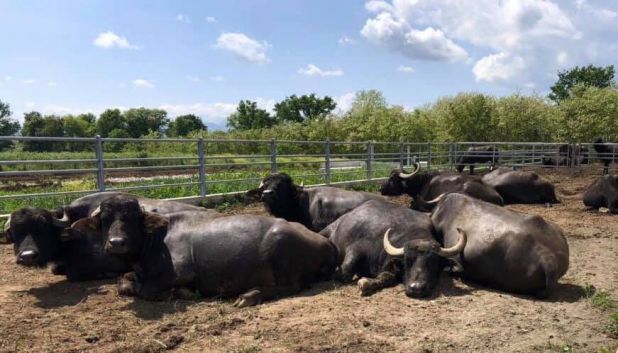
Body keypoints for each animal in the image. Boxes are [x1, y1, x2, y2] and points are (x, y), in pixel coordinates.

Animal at [72, 195, 336, 306]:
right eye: (105, 219)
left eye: (131, 218)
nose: (116, 242)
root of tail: (326, 243)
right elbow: (123, 282)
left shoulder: (180, 272)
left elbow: (147, 290)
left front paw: (183, 293)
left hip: (280, 249)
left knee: (291, 286)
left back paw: (249, 295)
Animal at [318, 199, 462, 296]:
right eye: (407, 261)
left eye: (434, 262)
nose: (416, 288)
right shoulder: (357, 248)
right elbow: (345, 273)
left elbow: (387, 276)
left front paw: (366, 283)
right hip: (327, 230)